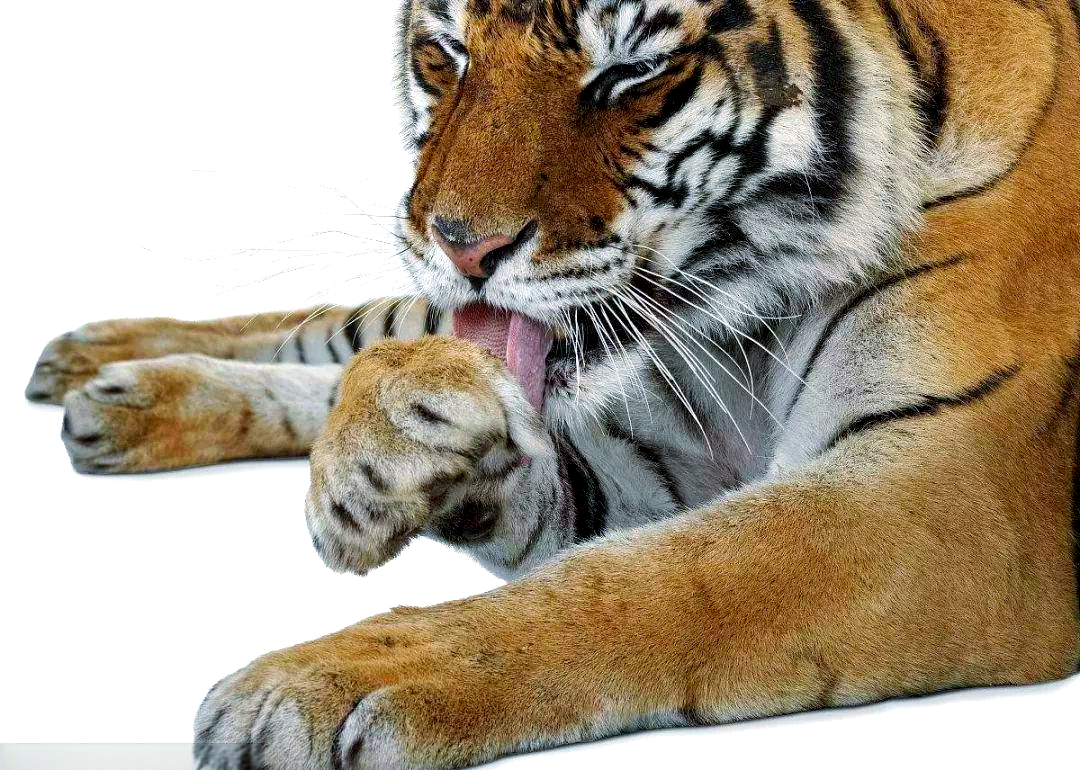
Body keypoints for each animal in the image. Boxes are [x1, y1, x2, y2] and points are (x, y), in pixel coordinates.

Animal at [23, 0, 1080, 767]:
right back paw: (95, 365)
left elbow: (643, 583)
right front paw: (393, 455)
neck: (746, 305)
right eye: (446, 54)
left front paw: (315, 684)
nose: (459, 244)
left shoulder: (945, 505)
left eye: (632, 75)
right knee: (343, 325)